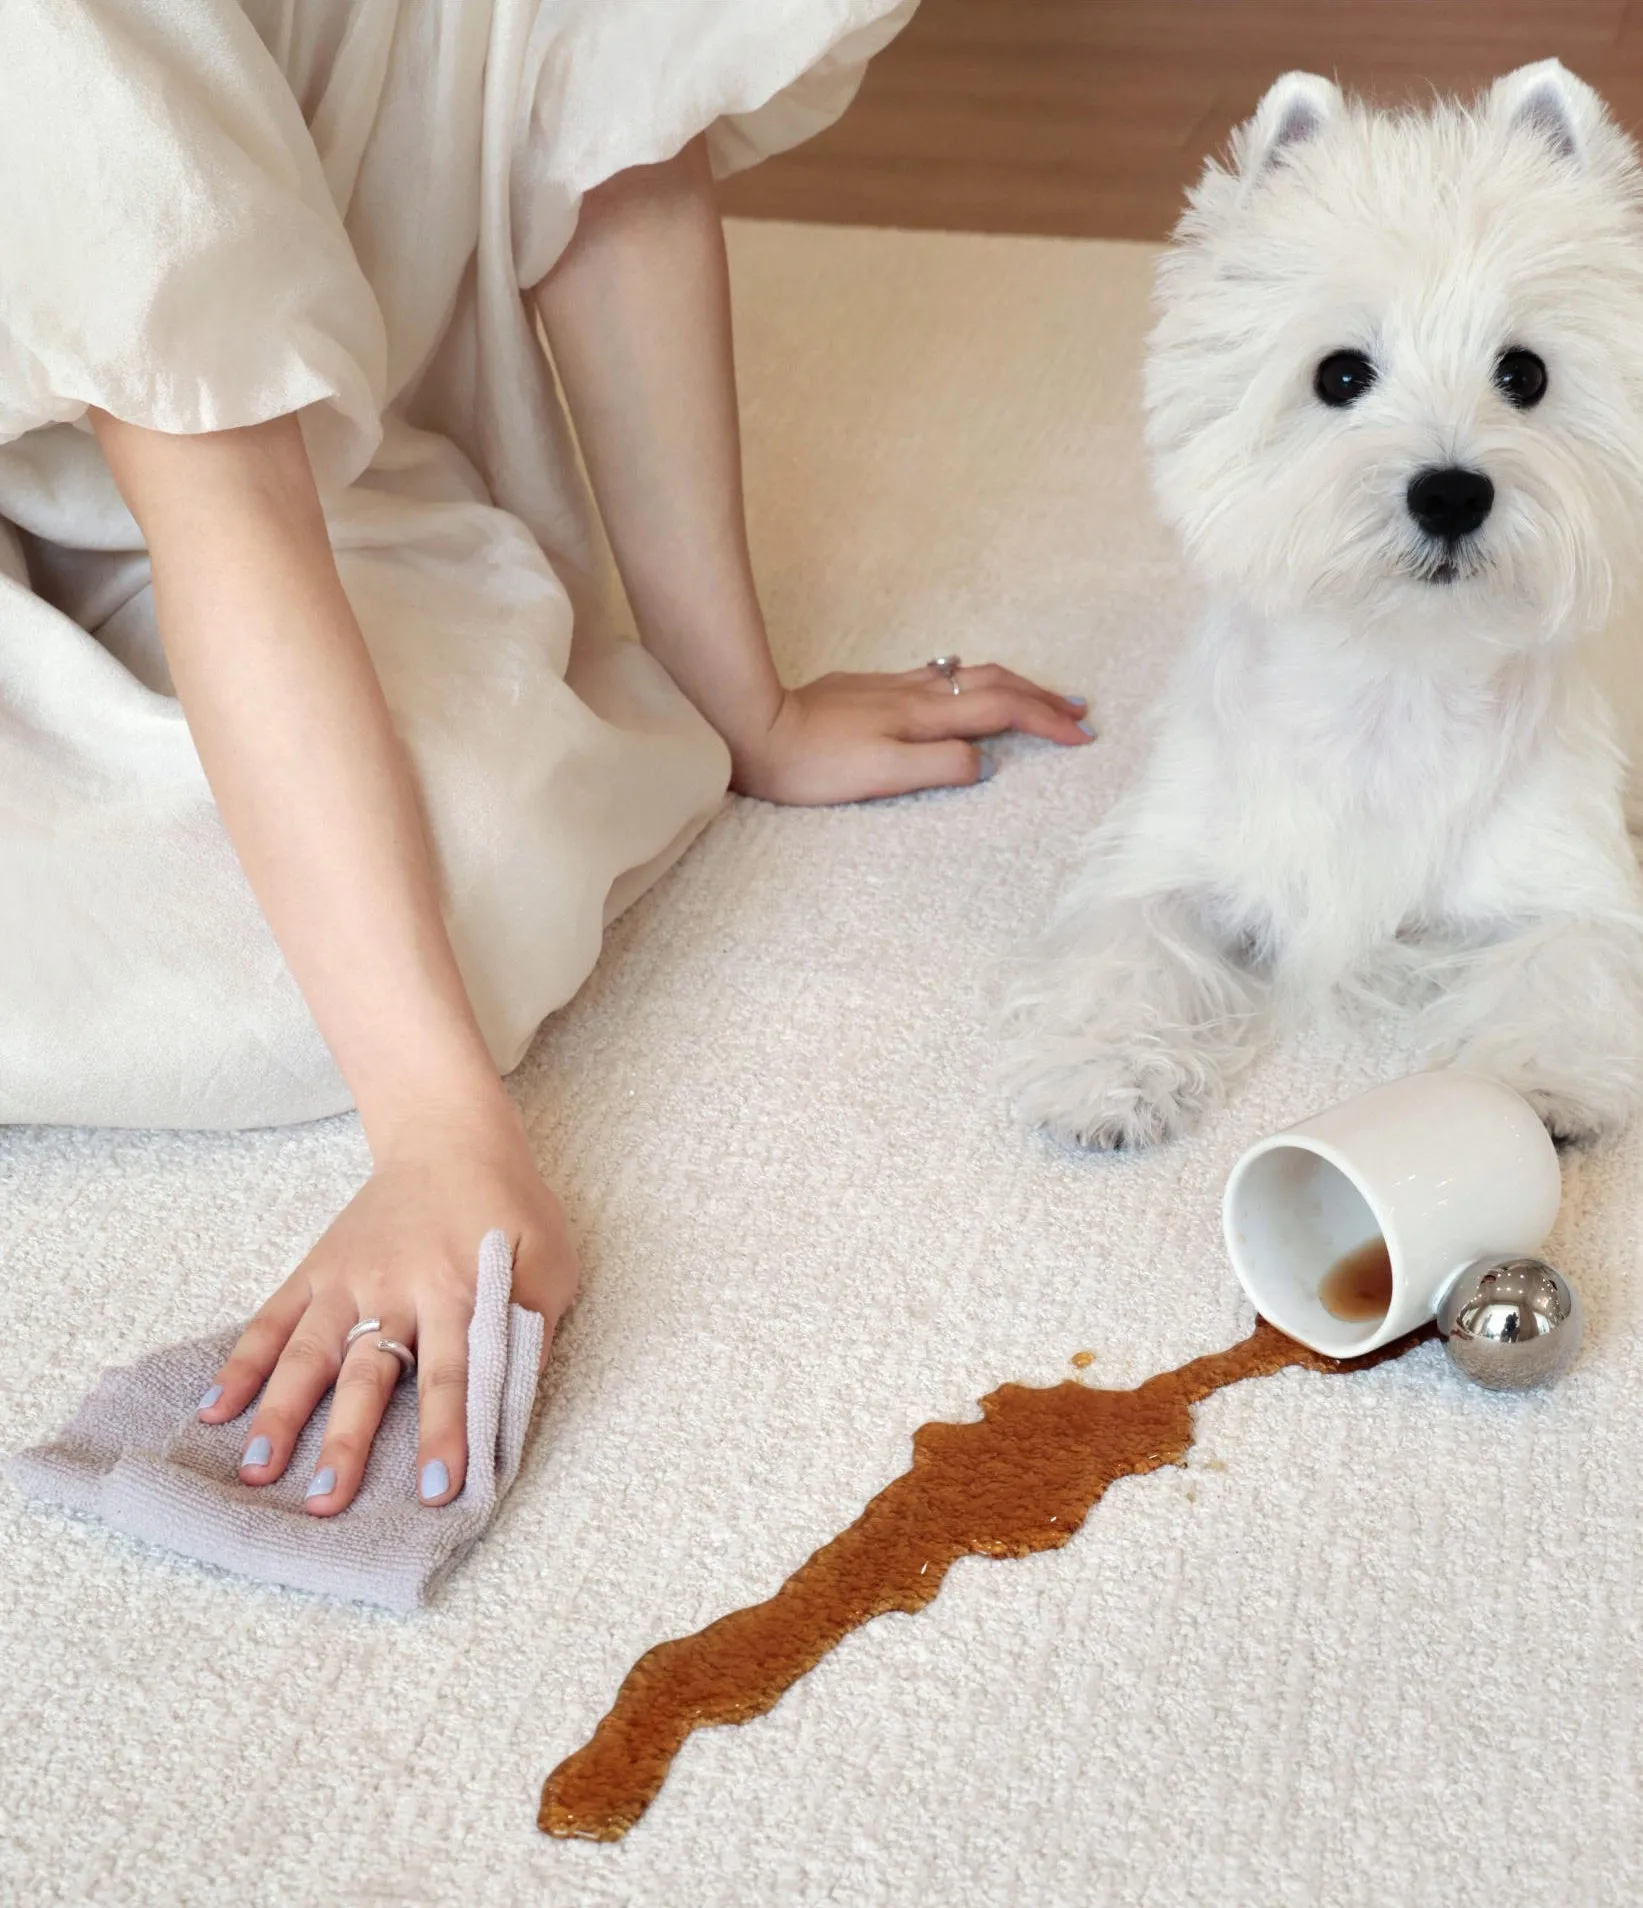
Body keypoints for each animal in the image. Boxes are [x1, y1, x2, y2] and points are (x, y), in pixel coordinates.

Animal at [999, 63, 1641, 1144]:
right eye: (1339, 374)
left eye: (1523, 373)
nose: (1449, 493)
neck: (1392, 675)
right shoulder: (1167, 859)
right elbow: (1126, 946)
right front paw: (1106, 1076)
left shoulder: (1573, 882)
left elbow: (1568, 963)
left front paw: (1539, 1084)